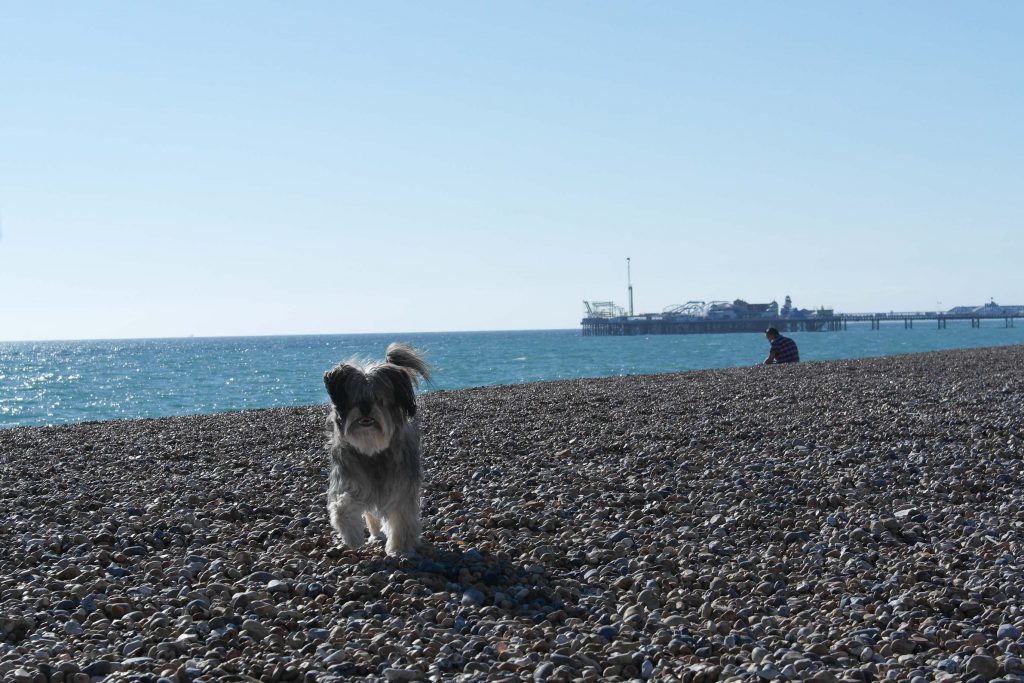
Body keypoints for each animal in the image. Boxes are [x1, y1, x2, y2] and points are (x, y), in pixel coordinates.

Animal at [323, 344, 428, 557]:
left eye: (378, 398)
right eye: (354, 398)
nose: (365, 408)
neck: (372, 451)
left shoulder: (402, 487)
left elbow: (401, 518)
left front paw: (399, 548)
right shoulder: (350, 479)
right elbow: (342, 506)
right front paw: (352, 537)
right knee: (369, 513)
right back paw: (374, 534)